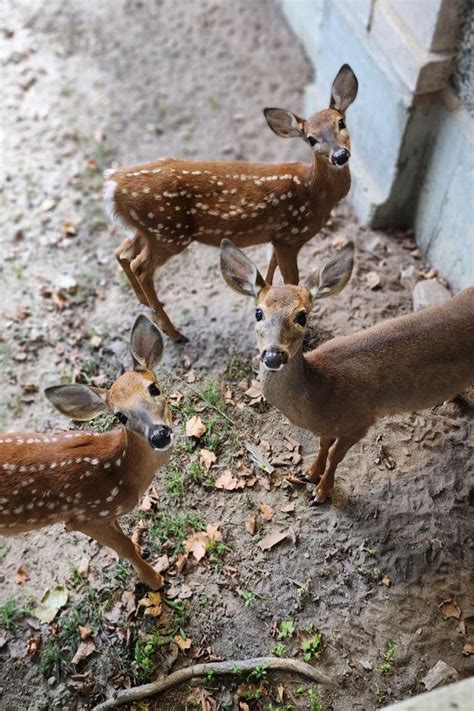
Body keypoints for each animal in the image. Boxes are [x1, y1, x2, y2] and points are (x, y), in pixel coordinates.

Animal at [0, 318, 174, 588]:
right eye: (120, 416)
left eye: (153, 388)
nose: (159, 434)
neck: (121, 475)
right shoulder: (84, 516)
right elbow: (124, 548)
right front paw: (154, 580)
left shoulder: (105, 514)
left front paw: (140, 549)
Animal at [103, 64, 356, 342]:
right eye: (311, 139)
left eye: (341, 122)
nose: (340, 155)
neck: (315, 193)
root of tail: (113, 184)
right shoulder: (290, 236)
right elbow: (293, 280)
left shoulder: (276, 237)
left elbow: (268, 274)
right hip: (167, 233)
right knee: (140, 267)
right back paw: (174, 333)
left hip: (147, 229)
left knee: (122, 252)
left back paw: (145, 305)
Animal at [221, 241, 474, 506]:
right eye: (258, 313)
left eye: (302, 316)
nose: (273, 356)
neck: (321, 393)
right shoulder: (331, 426)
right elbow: (323, 445)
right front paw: (309, 473)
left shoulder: (359, 421)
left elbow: (335, 455)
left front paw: (320, 493)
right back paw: (449, 398)